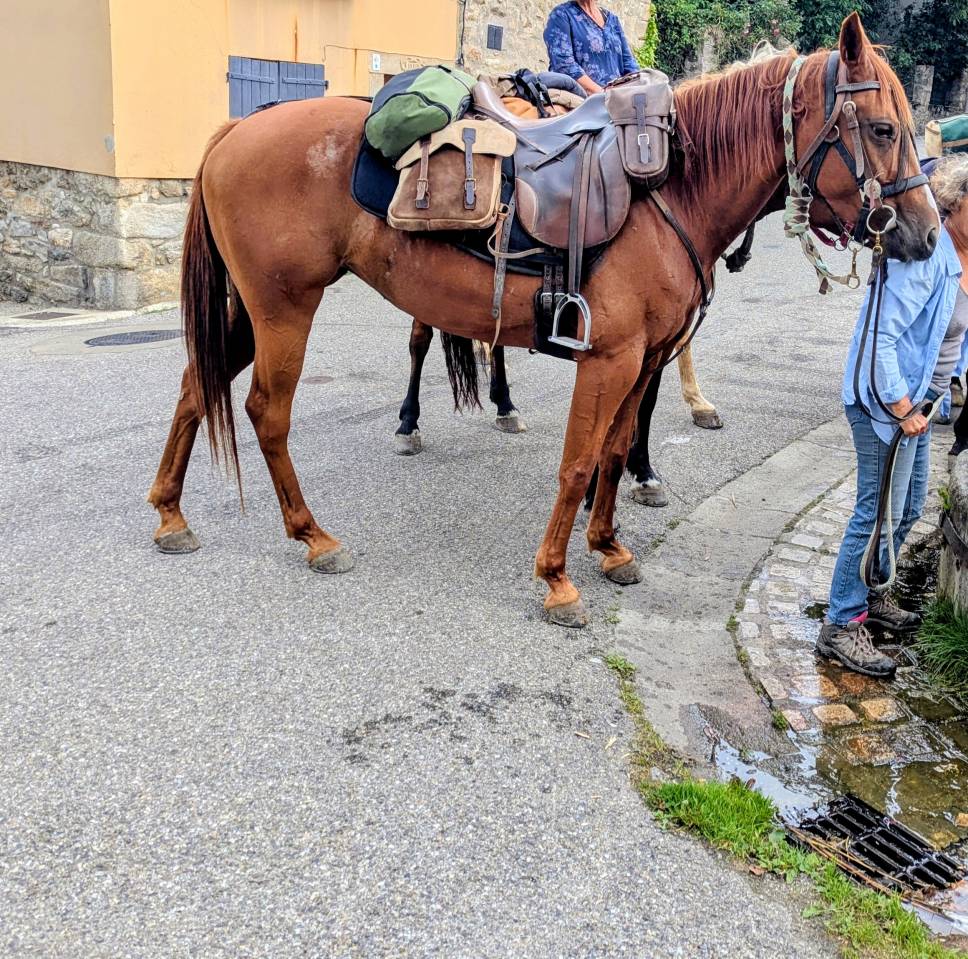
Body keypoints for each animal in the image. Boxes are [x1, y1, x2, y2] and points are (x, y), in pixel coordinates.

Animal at [148, 14, 938, 627]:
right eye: (881, 127)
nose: (927, 235)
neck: (671, 187)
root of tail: (235, 131)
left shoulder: (645, 359)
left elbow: (616, 453)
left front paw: (610, 546)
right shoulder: (610, 358)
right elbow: (579, 461)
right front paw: (557, 578)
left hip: (252, 309)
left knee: (195, 386)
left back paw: (171, 514)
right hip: (284, 307)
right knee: (265, 410)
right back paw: (312, 534)